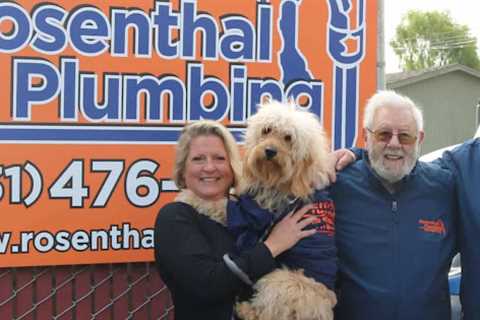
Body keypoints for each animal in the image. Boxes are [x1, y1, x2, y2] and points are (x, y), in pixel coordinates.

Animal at [228, 100, 338, 320]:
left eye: (288, 138)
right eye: (266, 130)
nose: (270, 151)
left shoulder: (256, 217)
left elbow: (228, 208)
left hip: (279, 279)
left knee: (266, 313)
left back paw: (244, 309)